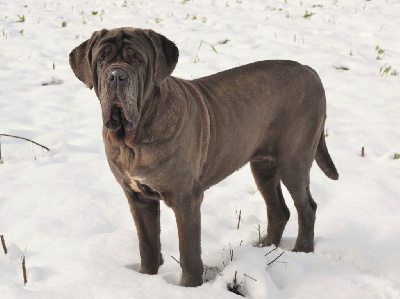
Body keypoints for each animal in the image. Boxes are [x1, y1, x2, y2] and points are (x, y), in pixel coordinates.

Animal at [69, 28, 338, 288]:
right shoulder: (138, 198)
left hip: (294, 160)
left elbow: (188, 253)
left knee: (306, 207)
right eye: (102, 59)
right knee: (278, 210)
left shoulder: (186, 198)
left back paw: (302, 251)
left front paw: (190, 287)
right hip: (263, 166)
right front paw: (146, 278)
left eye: (137, 60)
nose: (116, 76)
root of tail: (309, 70)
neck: (133, 139)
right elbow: (147, 244)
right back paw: (265, 251)